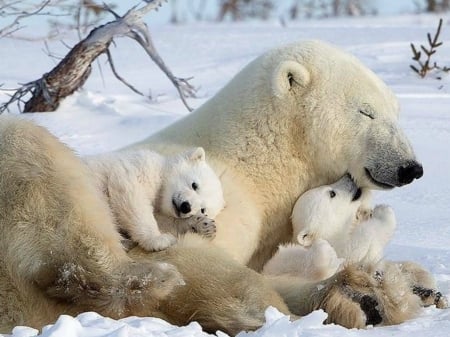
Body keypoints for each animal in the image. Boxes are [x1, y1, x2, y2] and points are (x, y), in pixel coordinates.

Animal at [83, 147, 224, 249]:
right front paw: (159, 240)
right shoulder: (139, 167)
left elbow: (163, 220)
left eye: (203, 209)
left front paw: (205, 225)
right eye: (194, 185)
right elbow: (132, 196)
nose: (186, 206)